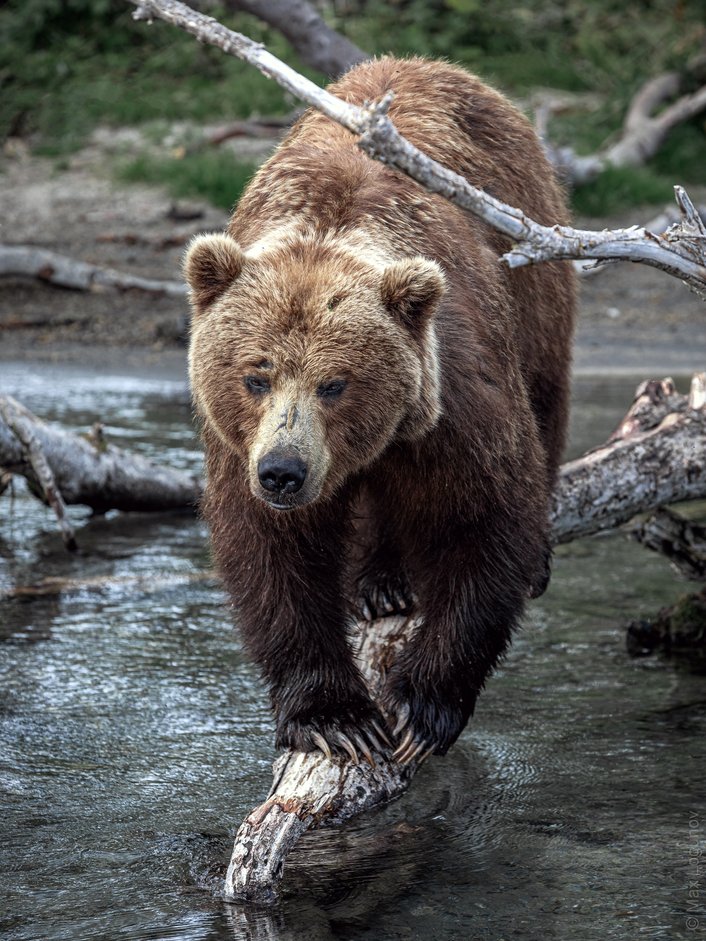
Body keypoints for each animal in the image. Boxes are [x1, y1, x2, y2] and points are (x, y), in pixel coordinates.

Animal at [184, 55, 576, 764]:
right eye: (255, 376)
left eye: (335, 384)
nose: (283, 472)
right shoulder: (238, 447)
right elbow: (273, 554)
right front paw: (334, 716)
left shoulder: (453, 399)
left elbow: (484, 521)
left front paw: (424, 706)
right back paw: (380, 580)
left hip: (535, 271)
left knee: (546, 396)